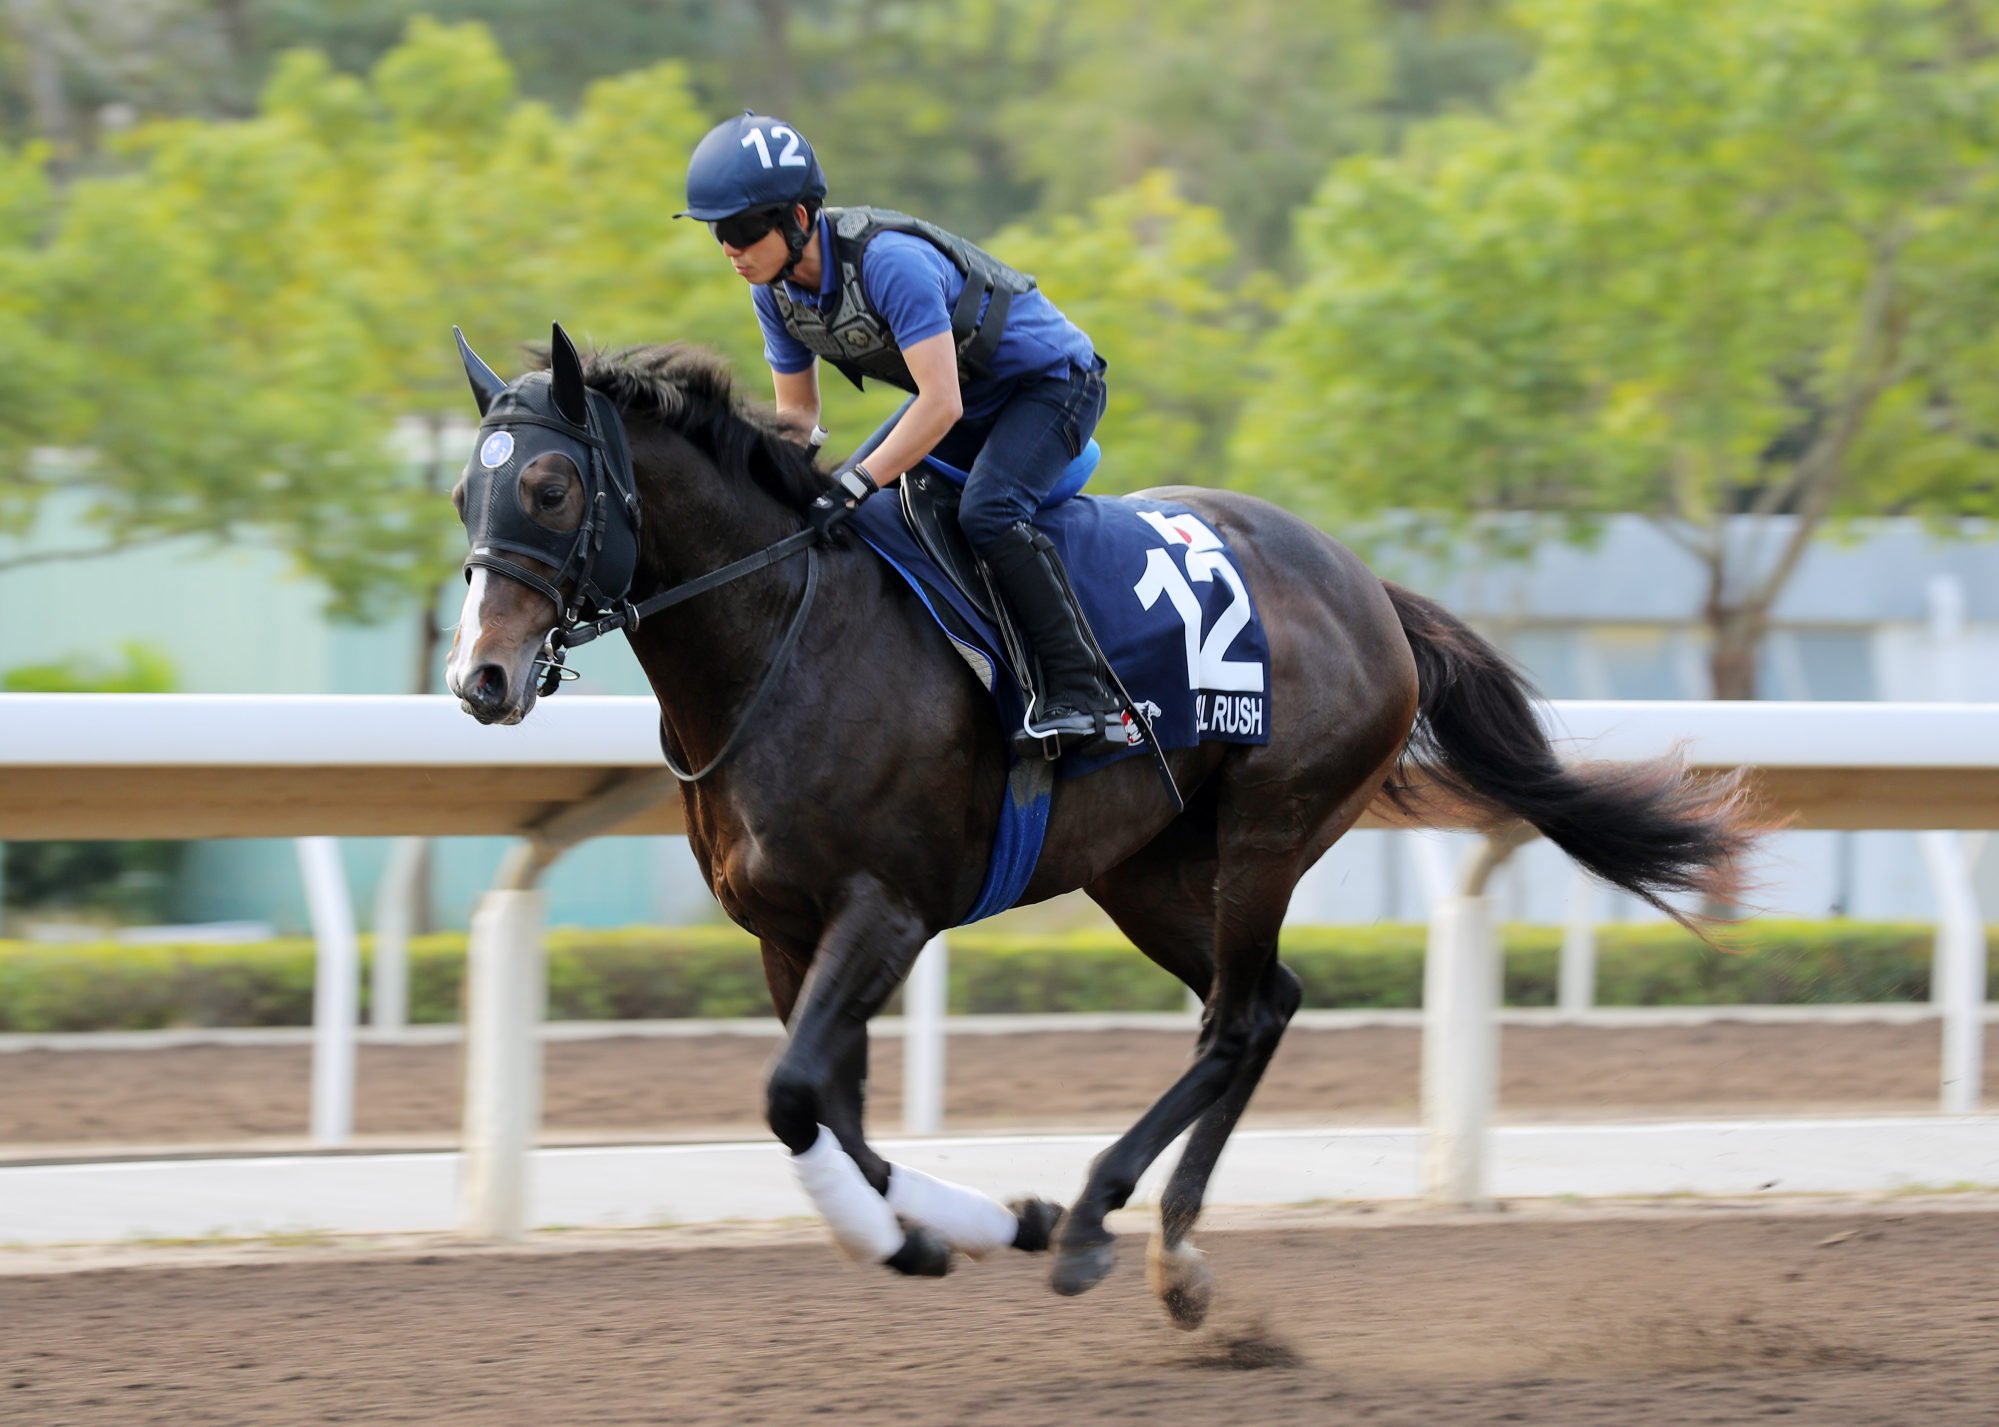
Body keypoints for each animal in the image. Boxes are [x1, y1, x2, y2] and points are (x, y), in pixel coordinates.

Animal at [441, 329, 1751, 1319]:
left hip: (1270, 826)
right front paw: (959, 1226)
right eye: (465, 491)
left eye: (550, 487)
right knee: (1267, 1003)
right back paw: (1162, 1243)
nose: (481, 678)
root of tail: (1369, 587)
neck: (781, 637)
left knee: (1234, 1017)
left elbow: (795, 1094)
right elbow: (829, 1107)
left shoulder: (886, 910)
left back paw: (1092, 1217)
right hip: (1143, 868)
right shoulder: (783, 930)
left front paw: (940, 1232)